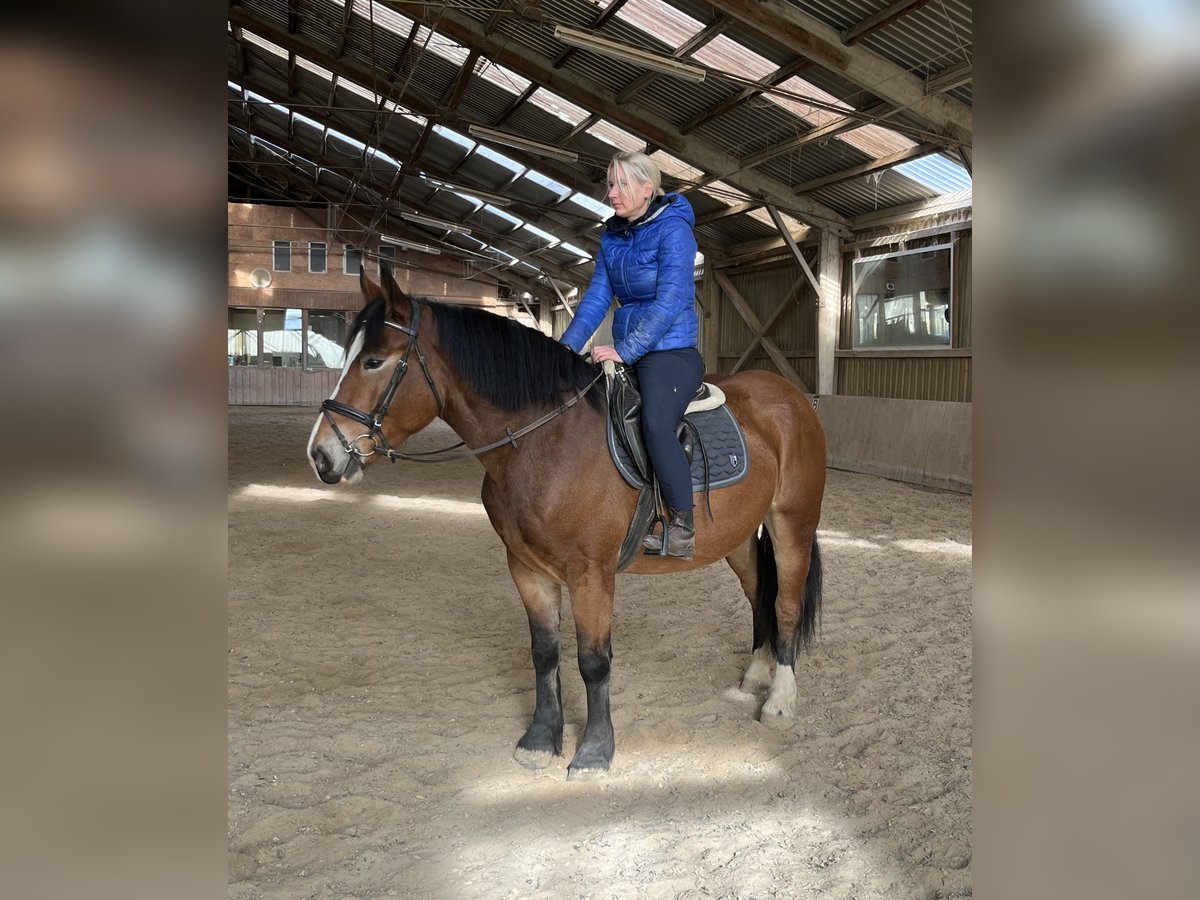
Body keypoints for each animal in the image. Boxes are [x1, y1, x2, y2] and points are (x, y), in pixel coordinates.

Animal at [308, 268, 827, 778]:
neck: (544, 441)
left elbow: (593, 661)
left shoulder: (590, 573)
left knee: (785, 604)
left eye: (374, 361)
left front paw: (595, 751)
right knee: (758, 594)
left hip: (792, 525)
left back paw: (779, 702)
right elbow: (545, 653)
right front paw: (540, 740)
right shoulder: (526, 567)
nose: (322, 456)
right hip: (738, 538)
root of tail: (793, 397)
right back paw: (754, 676)